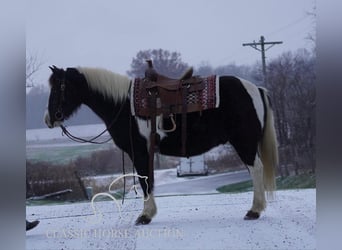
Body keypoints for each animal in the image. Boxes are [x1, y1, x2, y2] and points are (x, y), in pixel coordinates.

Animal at [44, 65, 278, 225]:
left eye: (57, 89)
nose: (49, 119)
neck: (122, 104)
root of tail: (255, 88)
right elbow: (148, 180)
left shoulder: (140, 152)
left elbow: (145, 181)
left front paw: (145, 215)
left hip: (244, 142)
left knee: (256, 170)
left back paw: (254, 211)